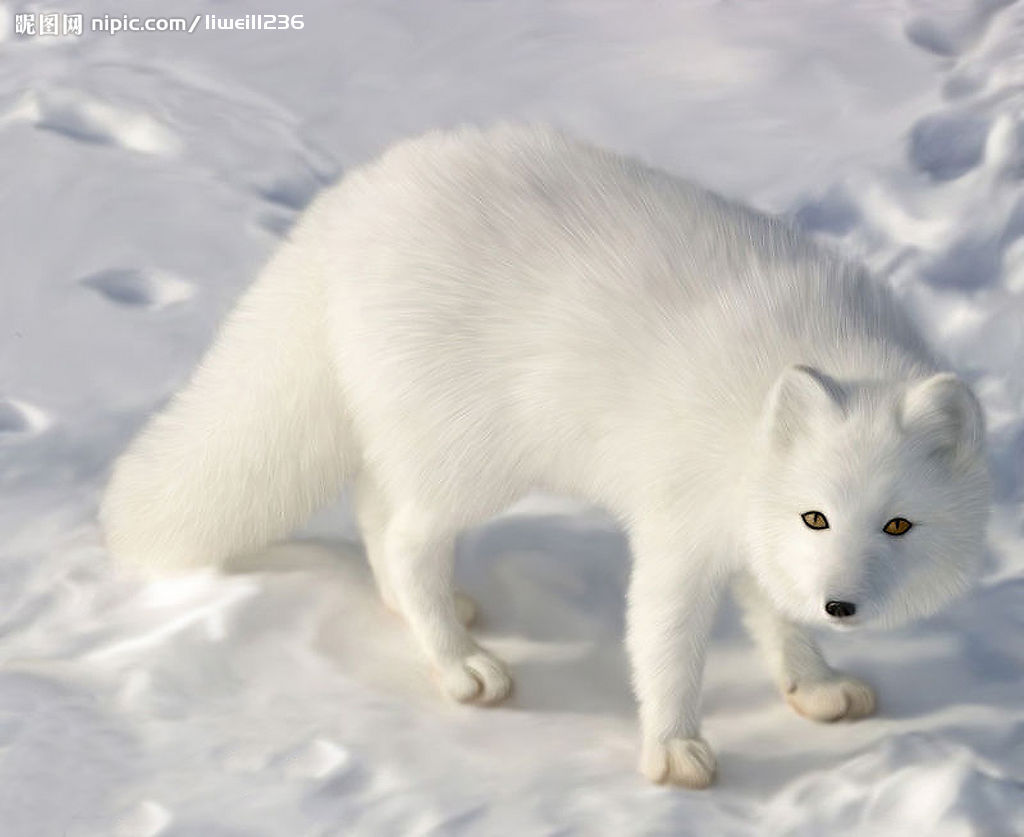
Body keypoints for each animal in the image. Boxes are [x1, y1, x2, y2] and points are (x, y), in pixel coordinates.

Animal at [99, 123, 987, 782]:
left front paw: (815, 684)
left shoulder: (746, 531)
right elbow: (667, 647)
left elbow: (776, 620)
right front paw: (673, 748)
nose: (841, 604)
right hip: (473, 457)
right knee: (405, 536)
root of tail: (349, 201)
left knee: (378, 512)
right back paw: (459, 664)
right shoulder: (679, 530)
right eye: (817, 516)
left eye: (897, 525)